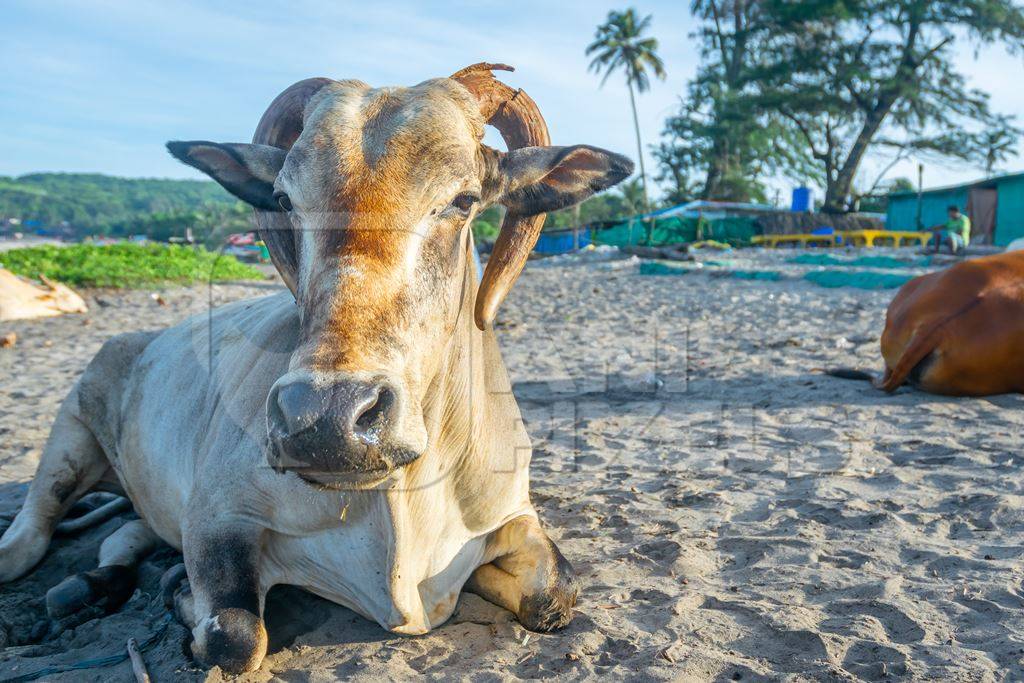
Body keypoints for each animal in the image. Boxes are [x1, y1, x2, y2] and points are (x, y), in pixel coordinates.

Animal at [0, 63, 630, 671]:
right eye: (284, 200)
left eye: (464, 199)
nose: (325, 419)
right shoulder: (215, 516)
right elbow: (235, 636)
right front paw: (183, 595)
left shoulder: (511, 513)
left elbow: (555, 595)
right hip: (70, 430)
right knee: (30, 538)